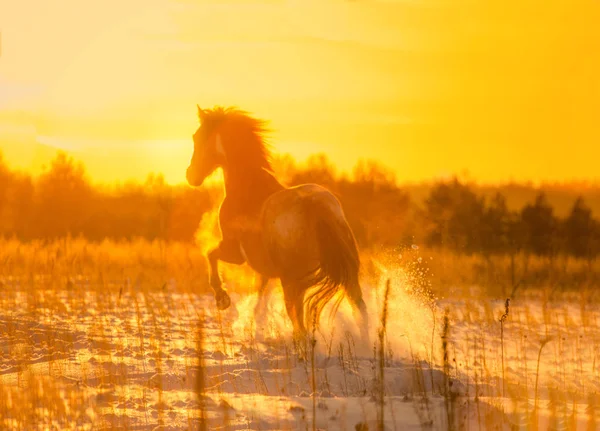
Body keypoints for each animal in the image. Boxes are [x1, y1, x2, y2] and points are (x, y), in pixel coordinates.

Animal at [185, 105, 368, 340]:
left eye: (197, 137)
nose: (191, 176)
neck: (247, 189)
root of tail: (316, 208)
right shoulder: (265, 269)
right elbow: (259, 299)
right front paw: (255, 327)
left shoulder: (234, 252)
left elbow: (210, 254)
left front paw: (222, 299)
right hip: (347, 276)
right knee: (360, 311)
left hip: (293, 282)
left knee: (300, 324)